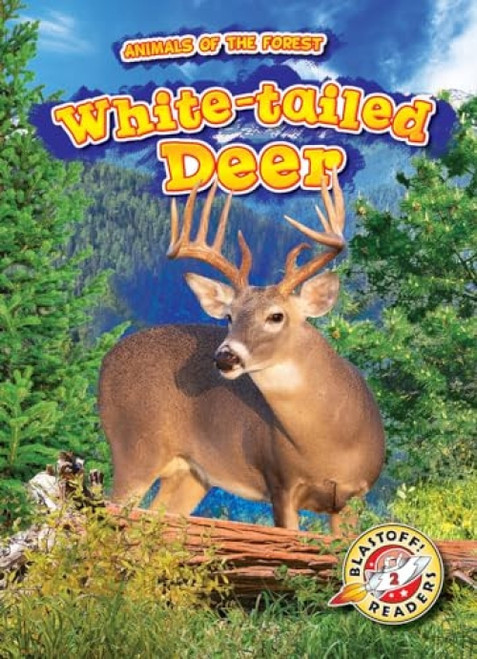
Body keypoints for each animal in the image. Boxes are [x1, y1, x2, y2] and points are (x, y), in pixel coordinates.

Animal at [98, 171, 385, 534]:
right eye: (229, 317)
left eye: (276, 316)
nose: (225, 357)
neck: (329, 439)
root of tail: (106, 361)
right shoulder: (281, 483)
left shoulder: (353, 495)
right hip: (134, 446)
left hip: (190, 475)